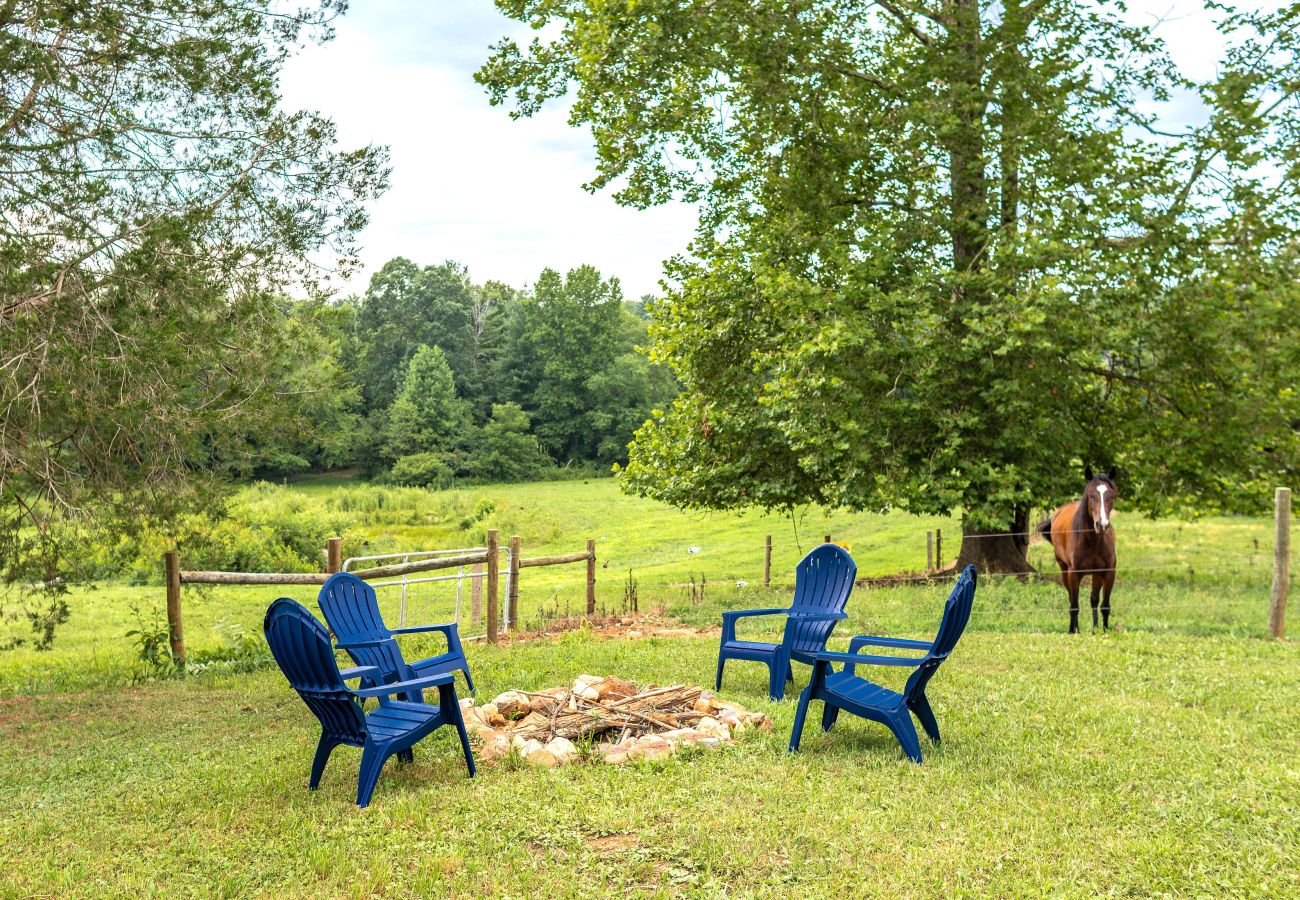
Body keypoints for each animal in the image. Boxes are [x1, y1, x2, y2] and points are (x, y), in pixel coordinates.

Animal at [1034, 468, 1118, 637]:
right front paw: (1073, 630)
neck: (1093, 541)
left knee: (1093, 599)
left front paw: (1104, 630)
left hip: (1096, 574)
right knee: (1071, 599)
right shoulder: (1074, 574)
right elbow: (1074, 605)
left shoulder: (1108, 572)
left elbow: (1104, 605)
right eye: (1091, 495)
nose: (1102, 525)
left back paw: (1095, 628)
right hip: (1064, 570)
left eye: (1111, 496)